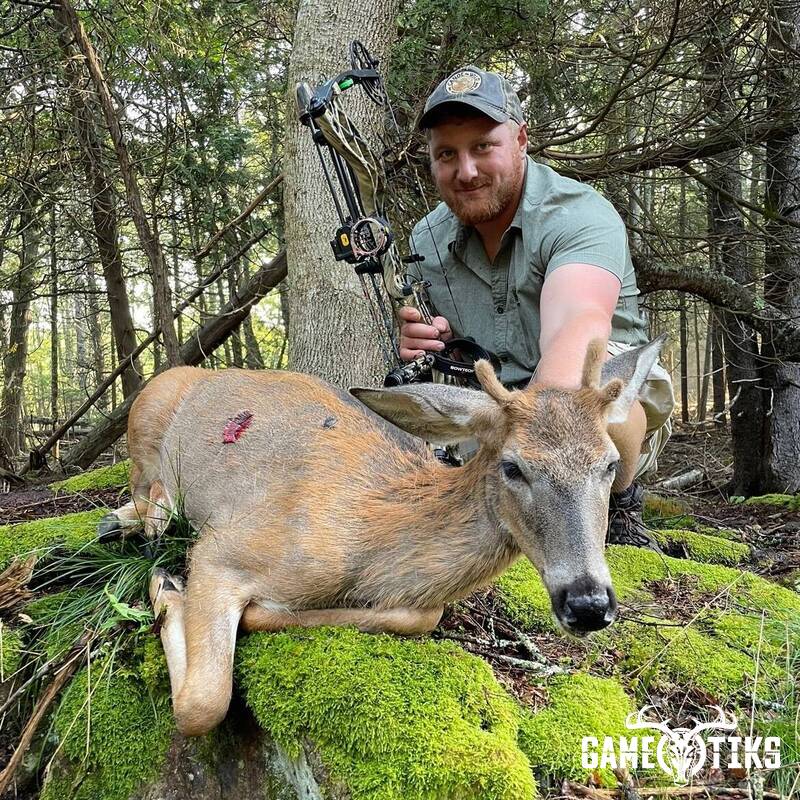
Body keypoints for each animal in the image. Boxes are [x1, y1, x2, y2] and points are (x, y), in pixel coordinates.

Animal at [97, 335, 664, 736]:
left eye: (609, 464)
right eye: (512, 466)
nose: (588, 603)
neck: (370, 533)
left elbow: (420, 616)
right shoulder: (225, 546)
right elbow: (202, 705)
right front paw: (167, 586)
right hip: (147, 412)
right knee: (144, 486)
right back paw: (138, 523)